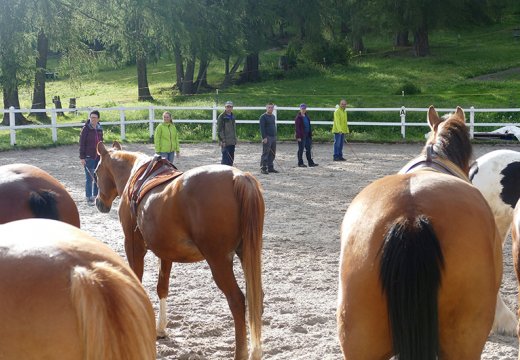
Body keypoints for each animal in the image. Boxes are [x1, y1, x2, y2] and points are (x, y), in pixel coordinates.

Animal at [94, 141, 264, 360]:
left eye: (96, 172)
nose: (99, 203)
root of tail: (238, 177)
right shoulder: (165, 252)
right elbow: (162, 287)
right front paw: (160, 329)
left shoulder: (133, 246)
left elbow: (136, 281)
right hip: (246, 254)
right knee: (256, 297)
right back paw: (255, 351)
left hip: (219, 261)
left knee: (237, 300)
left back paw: (241, 352)